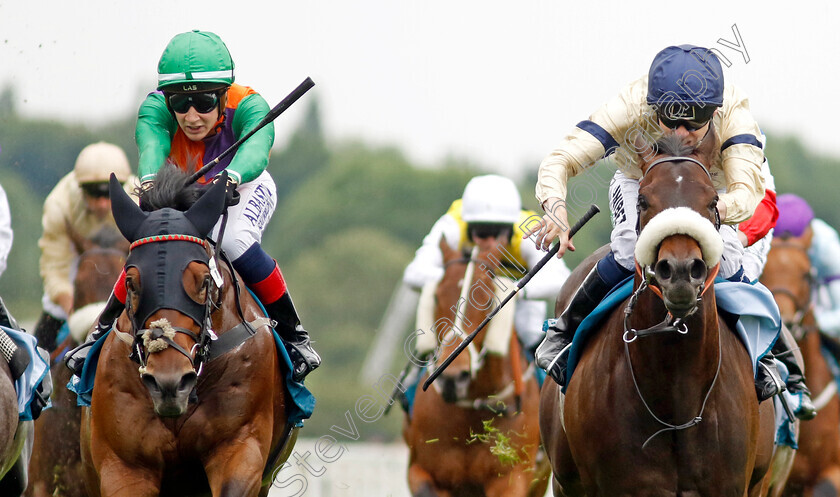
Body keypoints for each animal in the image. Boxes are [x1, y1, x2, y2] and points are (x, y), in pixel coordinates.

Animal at [404, 238, 548, 494]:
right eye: (436, 297)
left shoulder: (512, 477)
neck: (470, 412)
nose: (453, 377)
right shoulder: (420, 470)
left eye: (488, 299)